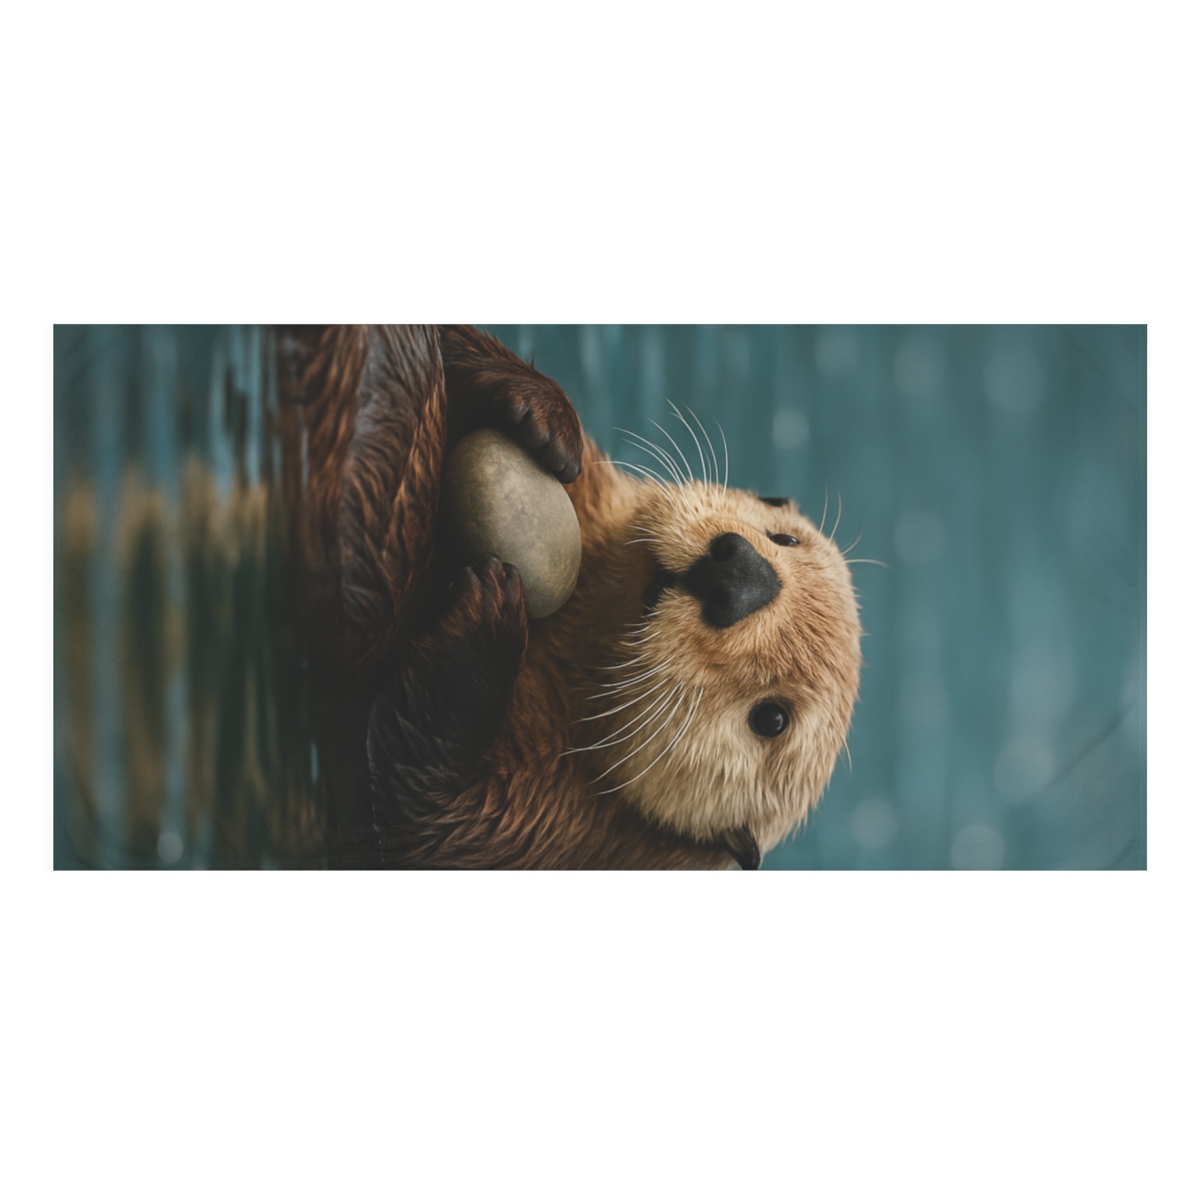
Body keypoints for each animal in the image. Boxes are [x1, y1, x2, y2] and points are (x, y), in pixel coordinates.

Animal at [277, 325, 861, 869]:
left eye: (772, 719)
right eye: (785, 538)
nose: (739, 575)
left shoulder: (534, 829)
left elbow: (413, 809)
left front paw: (490, 621)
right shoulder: (592, 493)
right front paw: (541, 414)